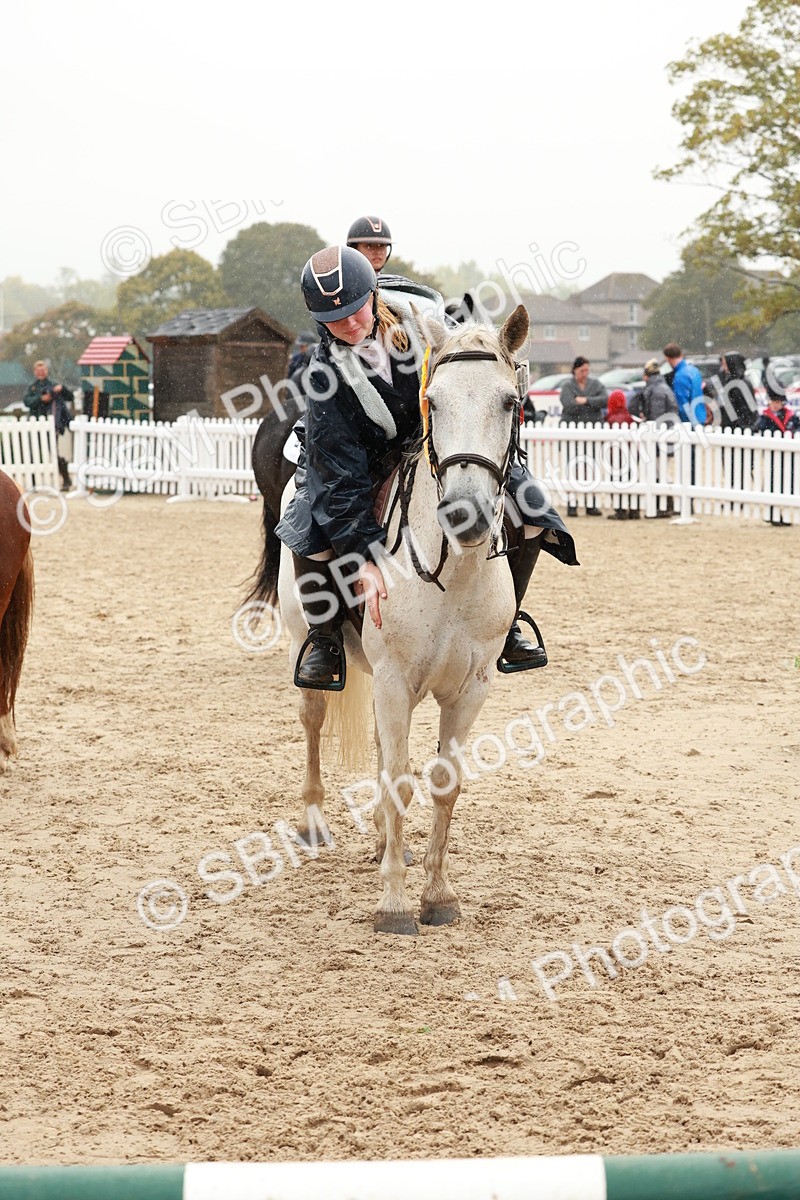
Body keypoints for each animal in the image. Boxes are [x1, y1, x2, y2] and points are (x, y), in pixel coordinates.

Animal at [248, 304, 531, 935]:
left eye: (508, 401)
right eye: (436, 402)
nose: (466, 513)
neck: (453, 573)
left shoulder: (471, 688)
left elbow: (443, 782)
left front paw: (437, 894)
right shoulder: (396, 680)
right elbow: (401, 780)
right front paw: (395, 904)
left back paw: (381, 839)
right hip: (311, 647)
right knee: (313, 721)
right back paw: (314, 823)